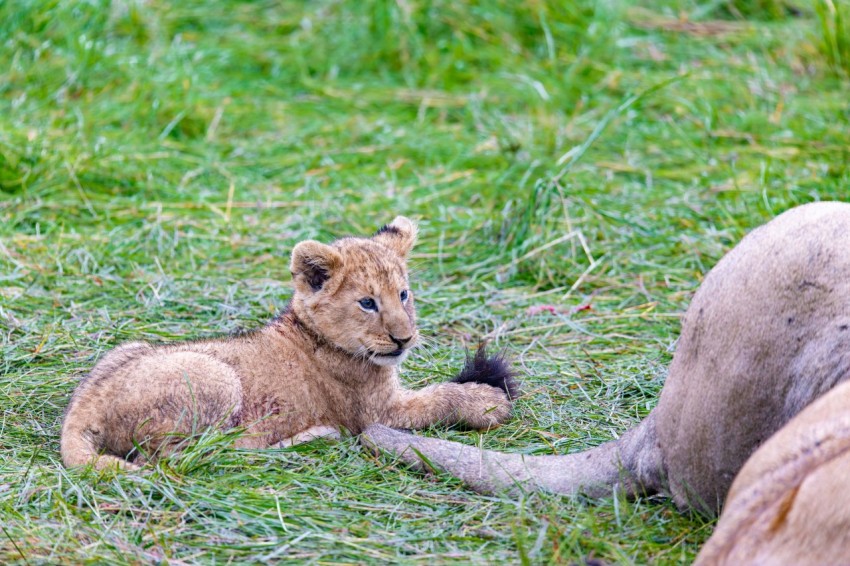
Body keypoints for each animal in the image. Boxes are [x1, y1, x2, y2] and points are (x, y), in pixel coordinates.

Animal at [61, 216, 518, 470]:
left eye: (403, 294)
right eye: (368, 302)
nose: (404, 339)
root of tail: (83, 410)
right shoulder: (377, 413)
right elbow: (439, 397)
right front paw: (487, 400)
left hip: (126, 349)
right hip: (217, 378)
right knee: (185, 455)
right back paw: (310, 437)